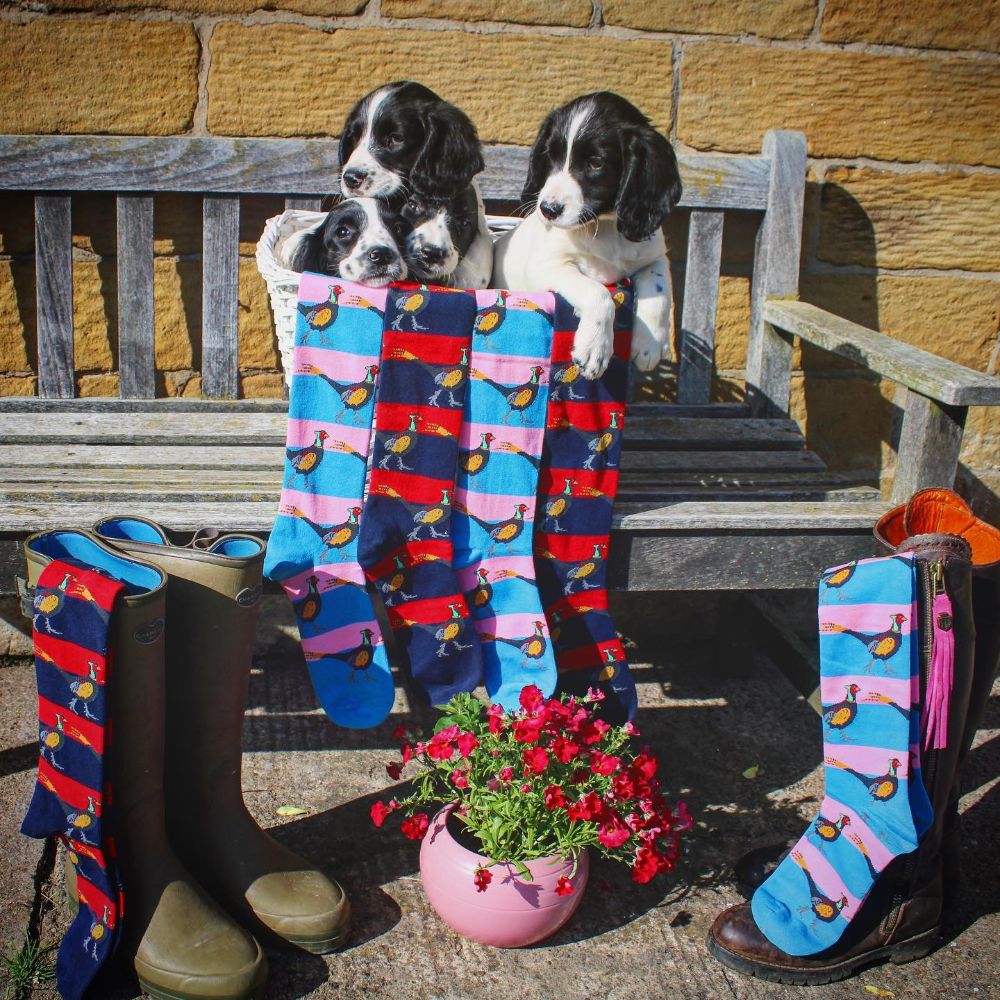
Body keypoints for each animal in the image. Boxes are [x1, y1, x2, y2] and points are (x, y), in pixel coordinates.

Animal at [490, 92, 680, 378]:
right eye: (550, 156)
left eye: (596, 163)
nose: (548, 209)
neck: (604, 228)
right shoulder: (547, 265)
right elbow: (598, 293)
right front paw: (595, 348)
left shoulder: (654, 255)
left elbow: (660, 289)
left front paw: (651, 345)